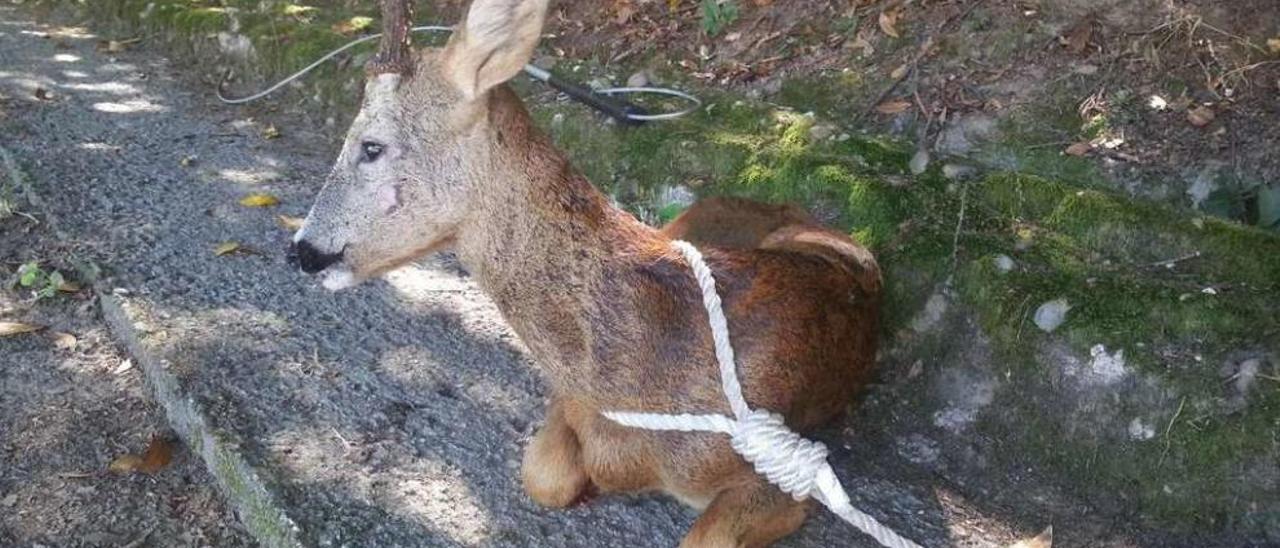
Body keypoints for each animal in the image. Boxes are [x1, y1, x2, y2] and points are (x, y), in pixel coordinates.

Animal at [291, 1, 885, 542]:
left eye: (371, 146)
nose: (301, 251)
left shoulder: (782, 478)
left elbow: (705, 535)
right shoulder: (568, 401)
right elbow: (543, 476)